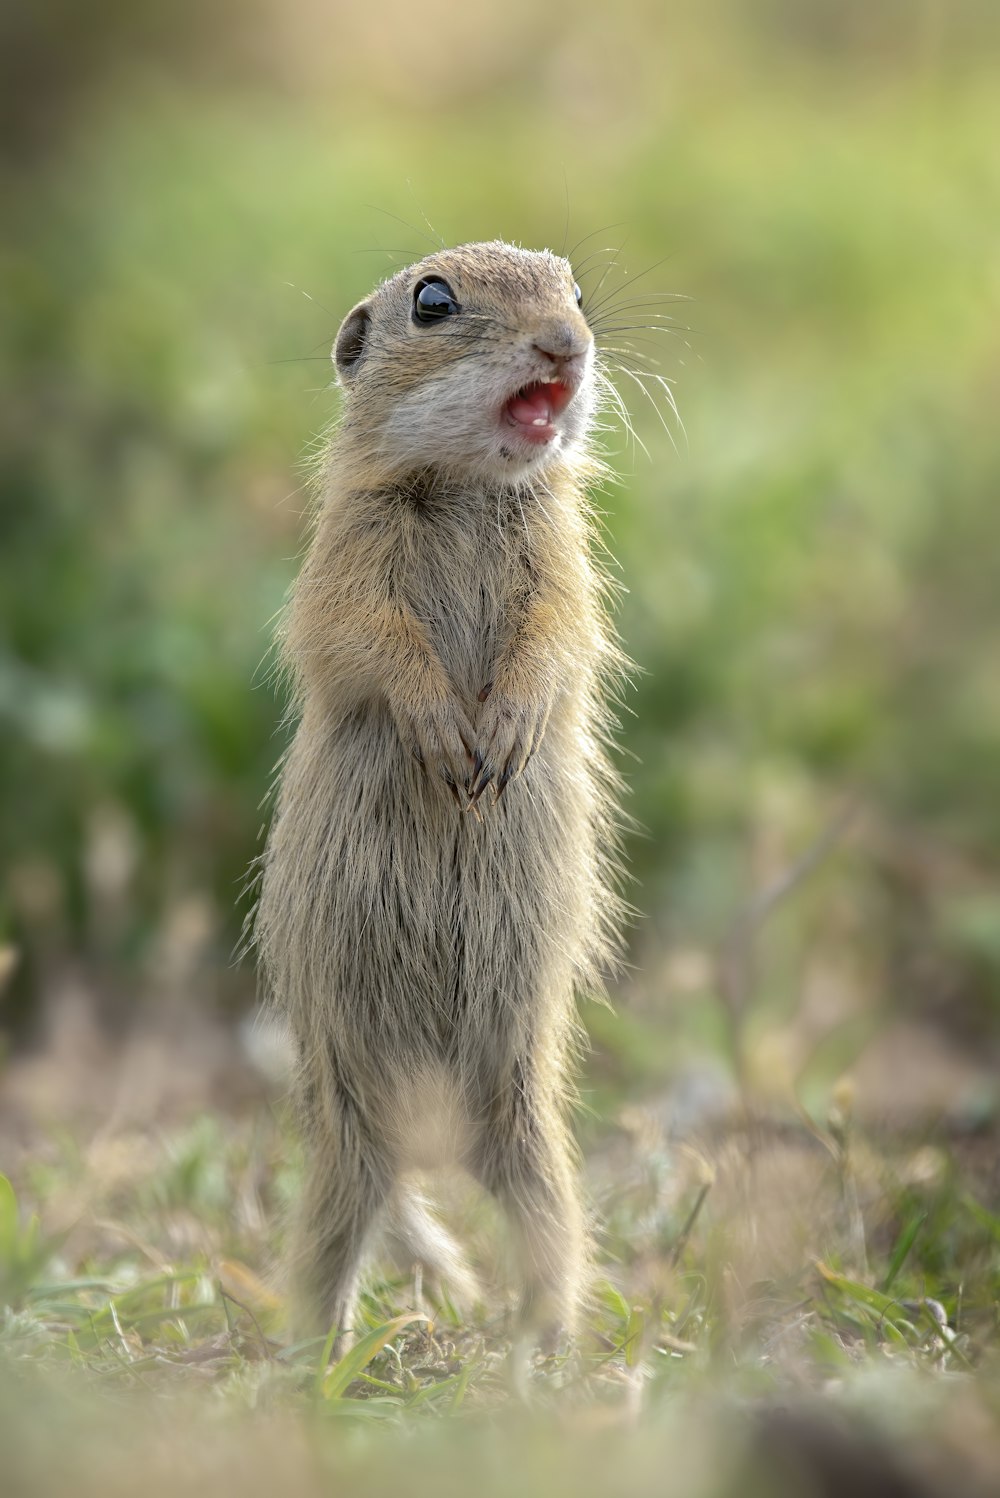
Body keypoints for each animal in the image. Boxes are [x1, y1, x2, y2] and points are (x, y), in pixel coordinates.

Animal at [257, 239, 631, 1354]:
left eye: (575, 291)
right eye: (432, 301)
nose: (565, 345)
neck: (469, 487)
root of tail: (432, 1141)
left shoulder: (565, 571)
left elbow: (556, 639)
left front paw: (498, 737)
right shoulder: (345, 565)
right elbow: (371, 641)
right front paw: (445, 734)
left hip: (527, 1129)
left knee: (548, 1230)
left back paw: (544, 1347)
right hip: (345, 1139)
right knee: (332, 1246)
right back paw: (319, 1358)